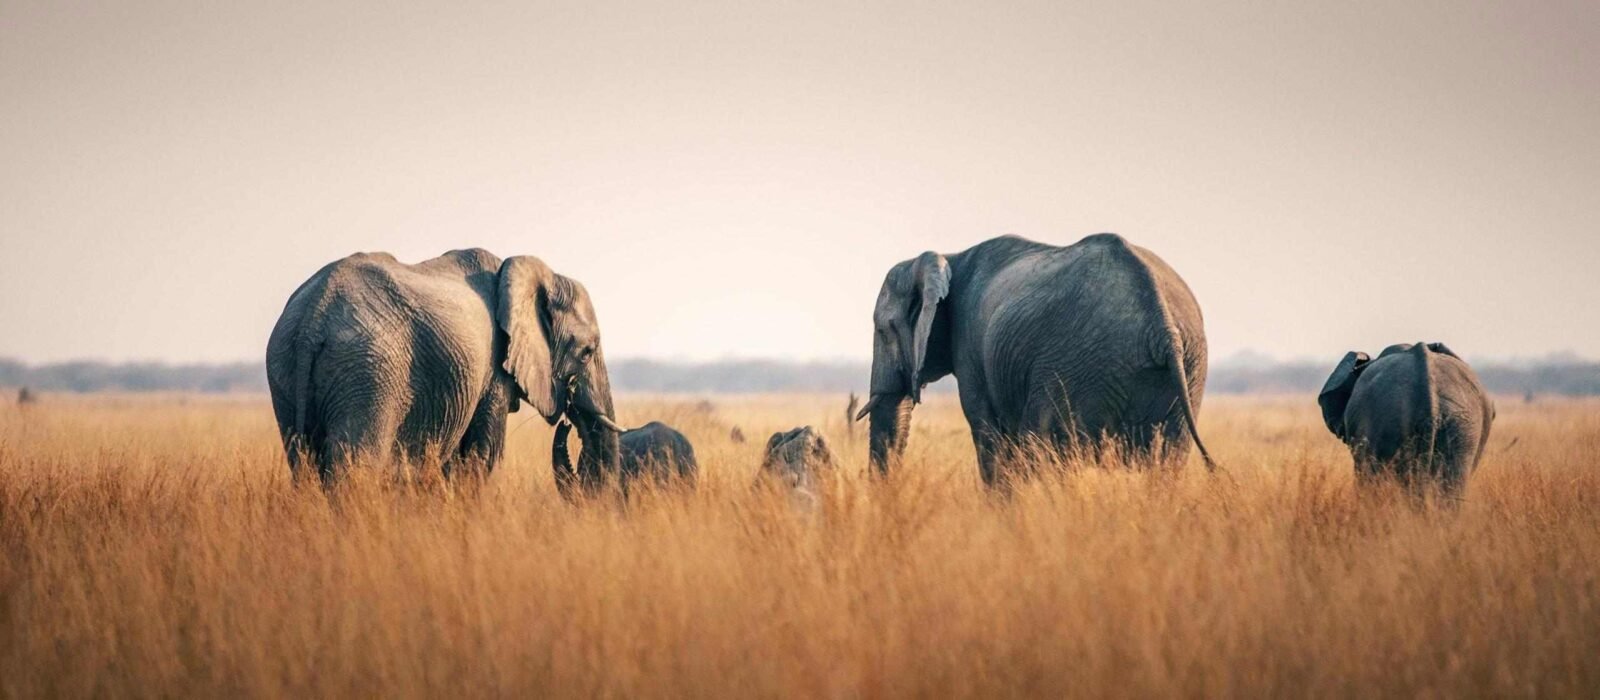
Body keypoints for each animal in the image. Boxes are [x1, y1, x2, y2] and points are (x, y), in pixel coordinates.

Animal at [265, 247, 620, 485]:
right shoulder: (493, 370)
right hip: (367, 371)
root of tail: (313, 318)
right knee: (354, 467)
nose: (568, 423)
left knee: (303, 461)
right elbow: (483, 457)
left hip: (284, 368)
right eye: (587, 352)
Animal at [857, 231, 1203, 482]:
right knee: (1167, 460)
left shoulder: (969, 347)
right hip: (1185, 372)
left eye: (884, 330)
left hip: (1079, 367)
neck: (950, 257)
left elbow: (987, 433)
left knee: (1049, 447)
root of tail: (1162, 325)